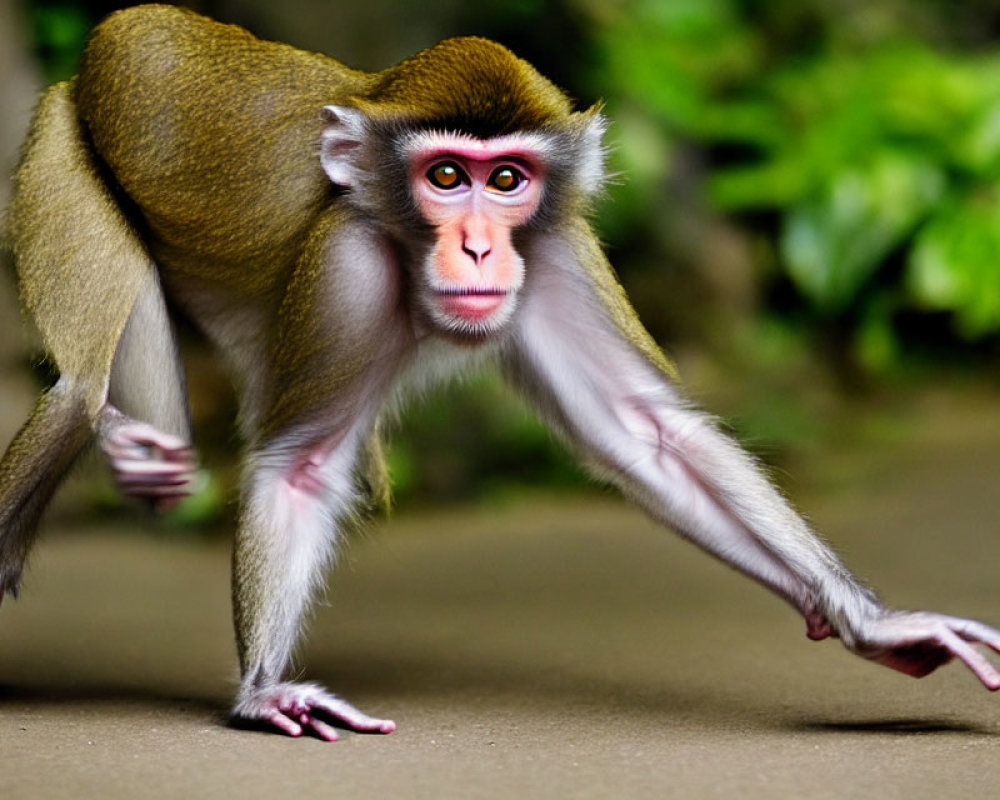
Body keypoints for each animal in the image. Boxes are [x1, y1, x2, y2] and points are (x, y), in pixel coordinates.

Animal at [1, 4, 1000, 744]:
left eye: (508, 179)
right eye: (447, 177)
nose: (481, 247)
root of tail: (111, 39)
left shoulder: (556, 248)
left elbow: (644, 434)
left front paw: (872, 623)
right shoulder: (346, 267)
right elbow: (301, 467)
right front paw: (262, 692)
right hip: (58, 143)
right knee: (80, 395)